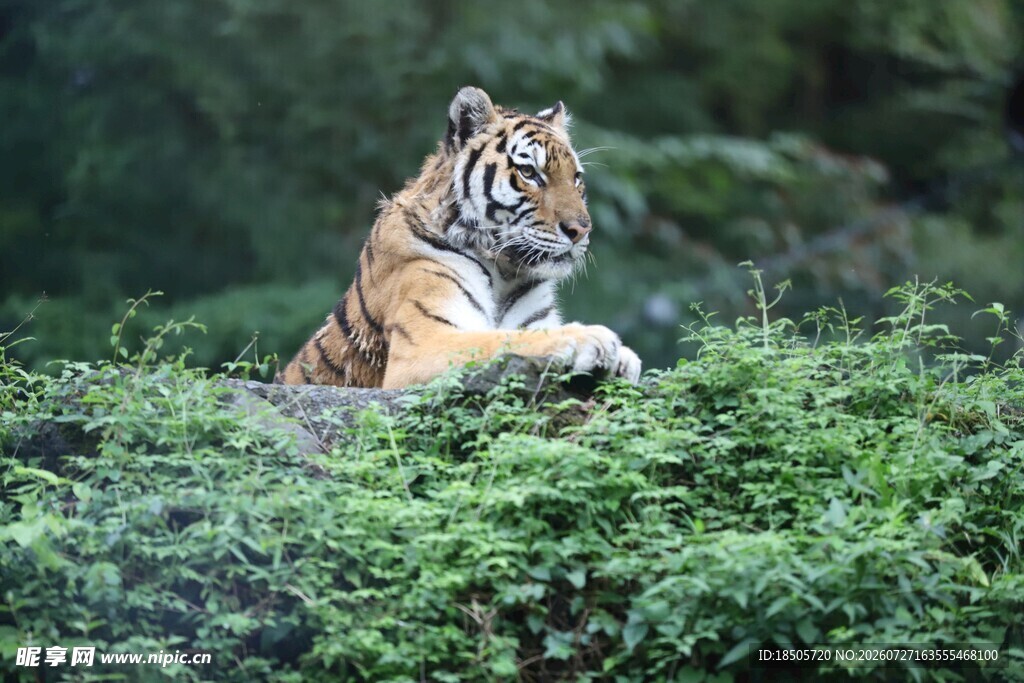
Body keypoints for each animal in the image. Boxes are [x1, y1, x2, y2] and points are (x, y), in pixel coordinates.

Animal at [276, 86, 641, 389]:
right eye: (528, 173)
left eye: (576, 178)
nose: (582, 230)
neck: (505, 271)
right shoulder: (423, 345)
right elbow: (502, 340)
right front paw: (592, 339)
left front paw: (625, 358)